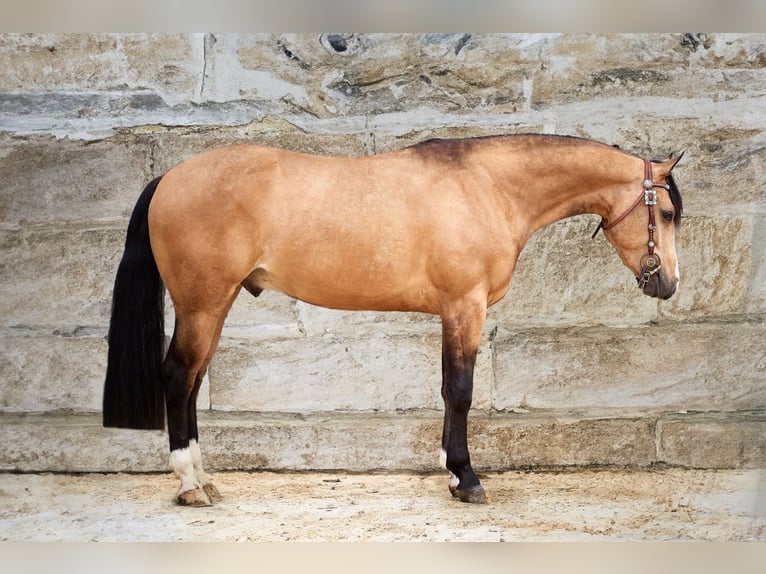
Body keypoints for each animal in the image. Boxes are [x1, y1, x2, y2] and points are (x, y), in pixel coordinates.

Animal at [102, 135, 684, 508]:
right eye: (668, 214)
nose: (670, 284)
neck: (488, 187)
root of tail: (169, 177)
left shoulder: (454, 311)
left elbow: (448, 389)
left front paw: (452, 474)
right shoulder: (465, 306)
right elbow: (461, 391)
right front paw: (466, 479)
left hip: (212, 307)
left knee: (193, 380)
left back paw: (205, 480)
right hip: (203, 305)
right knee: (179, 378)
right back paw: (188, 485)